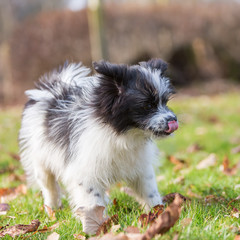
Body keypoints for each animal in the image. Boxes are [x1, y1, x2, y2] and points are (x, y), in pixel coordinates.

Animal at [18, 58, 178, 234]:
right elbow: (93, 201)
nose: (173, 120)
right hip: (40, 162)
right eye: (147, 105)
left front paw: (159, 212)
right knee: (49, 186)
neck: (122, 134)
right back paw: (52, 209)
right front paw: (98, 227)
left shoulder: (140, 169)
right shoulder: (86, 173)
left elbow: (149, 192)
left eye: (165, 101)